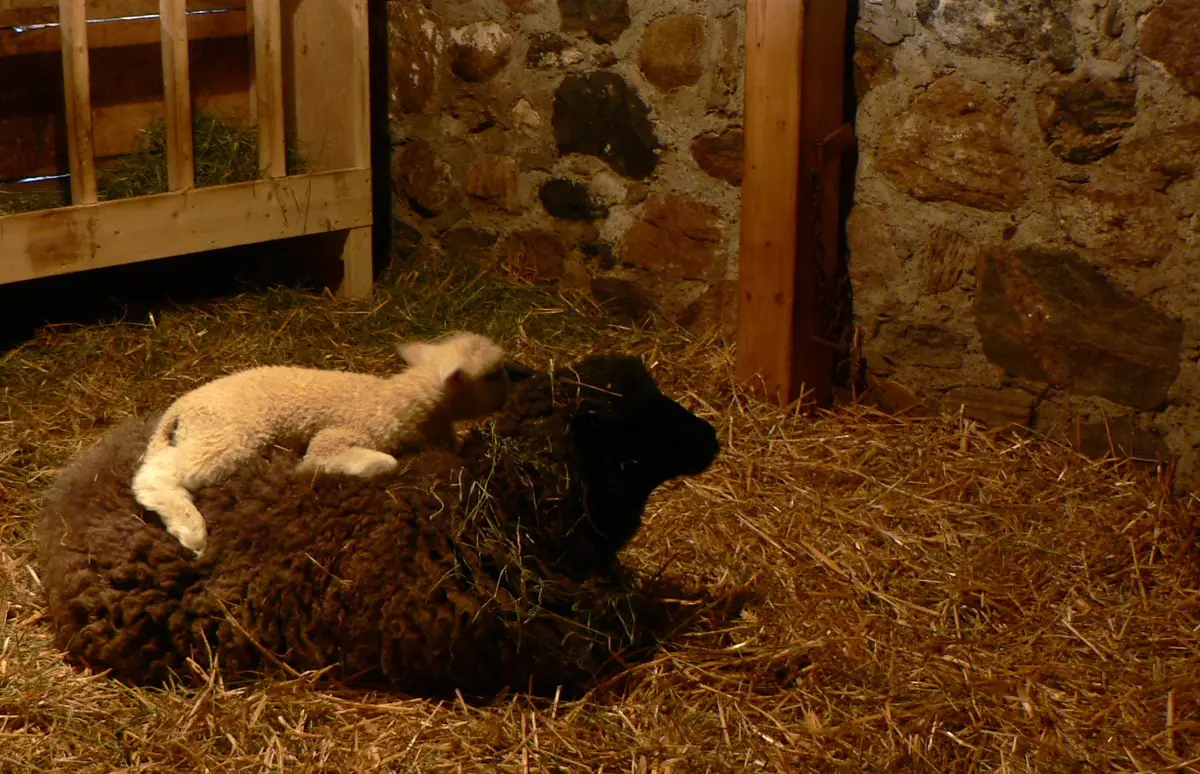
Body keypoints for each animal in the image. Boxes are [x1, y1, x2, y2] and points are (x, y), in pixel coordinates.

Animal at [131, 330, 529, 557]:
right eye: (491, 375)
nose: (514, 389)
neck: (399, 399)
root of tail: (181, 406)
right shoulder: (339, 436)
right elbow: (371, 461)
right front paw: (319, 469)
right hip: (228, 436)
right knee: (154, 476)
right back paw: (191, 531)